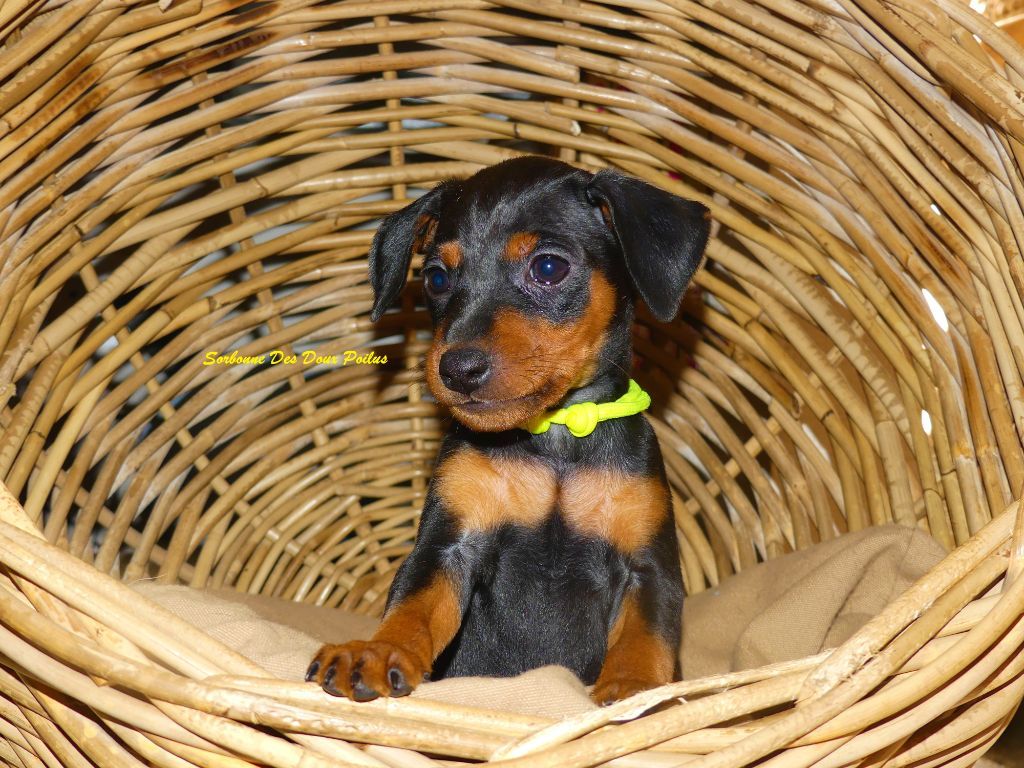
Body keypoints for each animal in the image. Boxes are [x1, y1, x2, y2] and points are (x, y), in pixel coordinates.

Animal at [303, 154, 708, 704]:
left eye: (549, 267)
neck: (555, 435)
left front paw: (636, 688)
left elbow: (645, 638)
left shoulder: (649, 569)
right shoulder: (447, 548)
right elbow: (413, 607)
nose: (457, 369)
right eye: (436, 278)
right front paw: (377, 650)